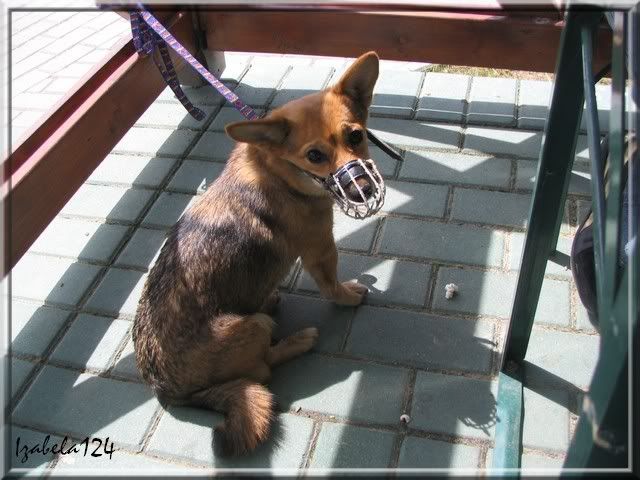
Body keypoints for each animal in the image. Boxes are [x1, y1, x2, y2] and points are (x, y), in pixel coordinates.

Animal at [132, 51, 384, 456]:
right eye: (315, 155)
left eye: (356, 136)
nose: (362, 187)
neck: (277, 171)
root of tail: (166, 392)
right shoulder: (320, 250)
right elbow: (332, 287)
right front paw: (348, 296)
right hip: (254, 327)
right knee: (263, 369)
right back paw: (297, 341)